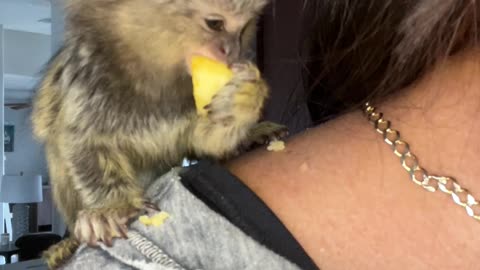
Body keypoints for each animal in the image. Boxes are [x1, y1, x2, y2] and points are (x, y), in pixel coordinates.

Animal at [31, 0, 284, 268]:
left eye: (244, 28)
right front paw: (112, 209)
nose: (232, 52)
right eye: (215, 24)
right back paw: (68, 244)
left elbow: (204, 140)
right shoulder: (88, 81)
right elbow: (81, 141)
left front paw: (243, 98)